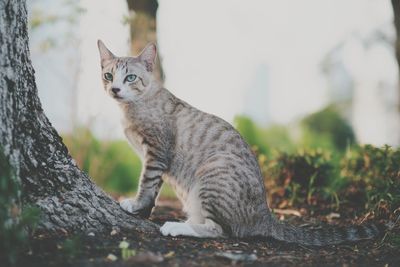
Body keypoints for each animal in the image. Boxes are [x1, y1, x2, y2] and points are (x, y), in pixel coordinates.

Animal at [96, 40, 378, 247]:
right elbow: (153, 189)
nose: (115, 89)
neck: (131, 108)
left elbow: (147, 183)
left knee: (220, 231)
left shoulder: (156, 152)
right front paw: (143, 211)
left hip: (212, 174)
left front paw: (136, 205)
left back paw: (177, 226)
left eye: (130, 78)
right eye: (108, 75)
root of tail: (266, 214)